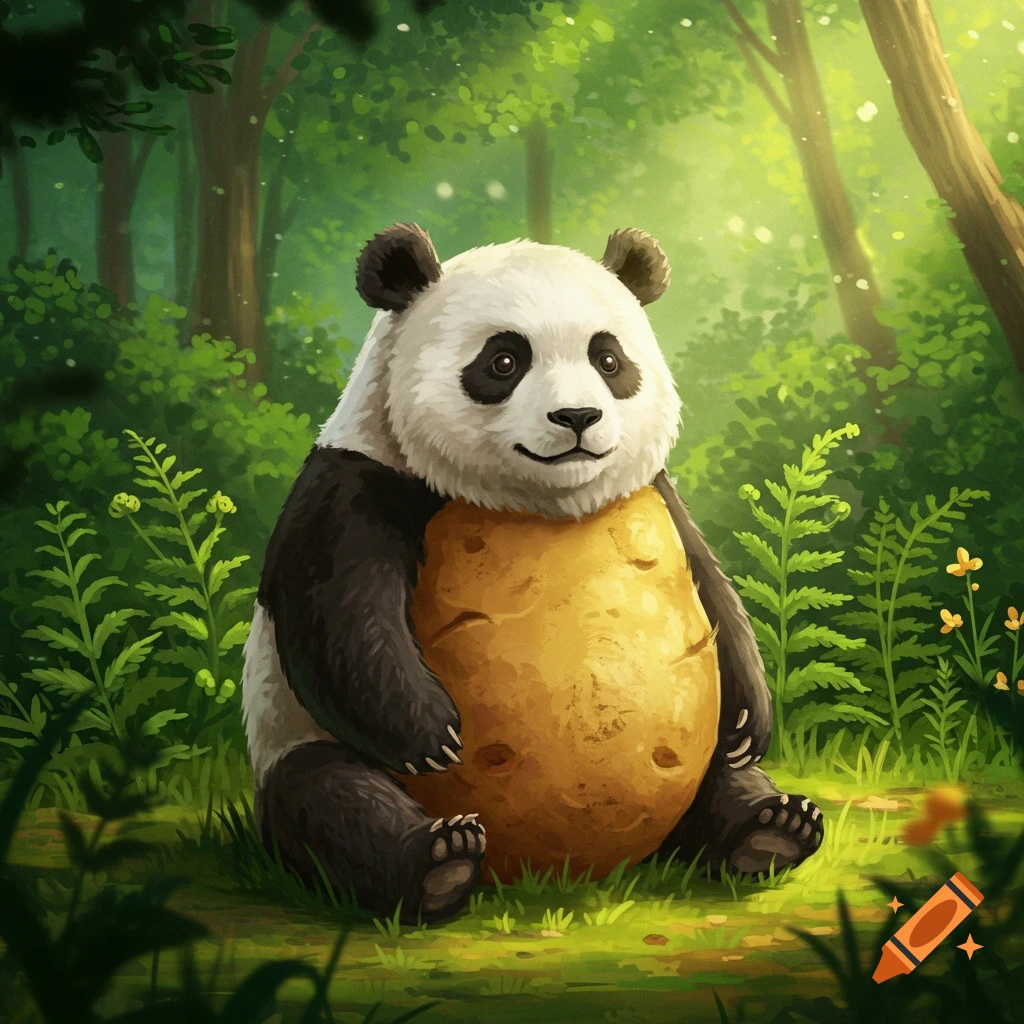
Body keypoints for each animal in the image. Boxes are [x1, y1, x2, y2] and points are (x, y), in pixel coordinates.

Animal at [241, 223, 824, 924]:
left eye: (609, 360)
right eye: (502, 362)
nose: (577, 418)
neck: (542, 504)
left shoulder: (656, 494)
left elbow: (716, 594)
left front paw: (749, 720)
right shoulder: (356, 482)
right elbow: (338, 617)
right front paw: (429, 731)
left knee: (718, 781)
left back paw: (772, 828)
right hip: (291, 738)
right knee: (333, 802)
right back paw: (438, 862)